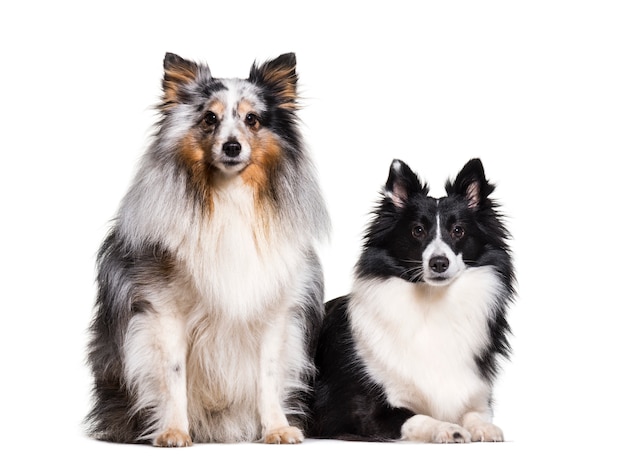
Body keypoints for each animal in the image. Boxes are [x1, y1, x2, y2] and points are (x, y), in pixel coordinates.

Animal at [85, 51, 330, 446]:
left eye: (252, 119)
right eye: (209, 118)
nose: (232, 147)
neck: (229, 196)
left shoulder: (274, 311)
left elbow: (269, 375)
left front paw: (277, 429)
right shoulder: (163, 311)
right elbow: (173, 375)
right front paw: (173, 431)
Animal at [310, 159, 516, 442]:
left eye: (458, 231)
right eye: (417, 230)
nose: (439, 263)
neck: (433, 303)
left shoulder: (477, 395)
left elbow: (475, 413)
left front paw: (482, 427)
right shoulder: (359, 414)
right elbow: (416, 417)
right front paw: (446, 428)